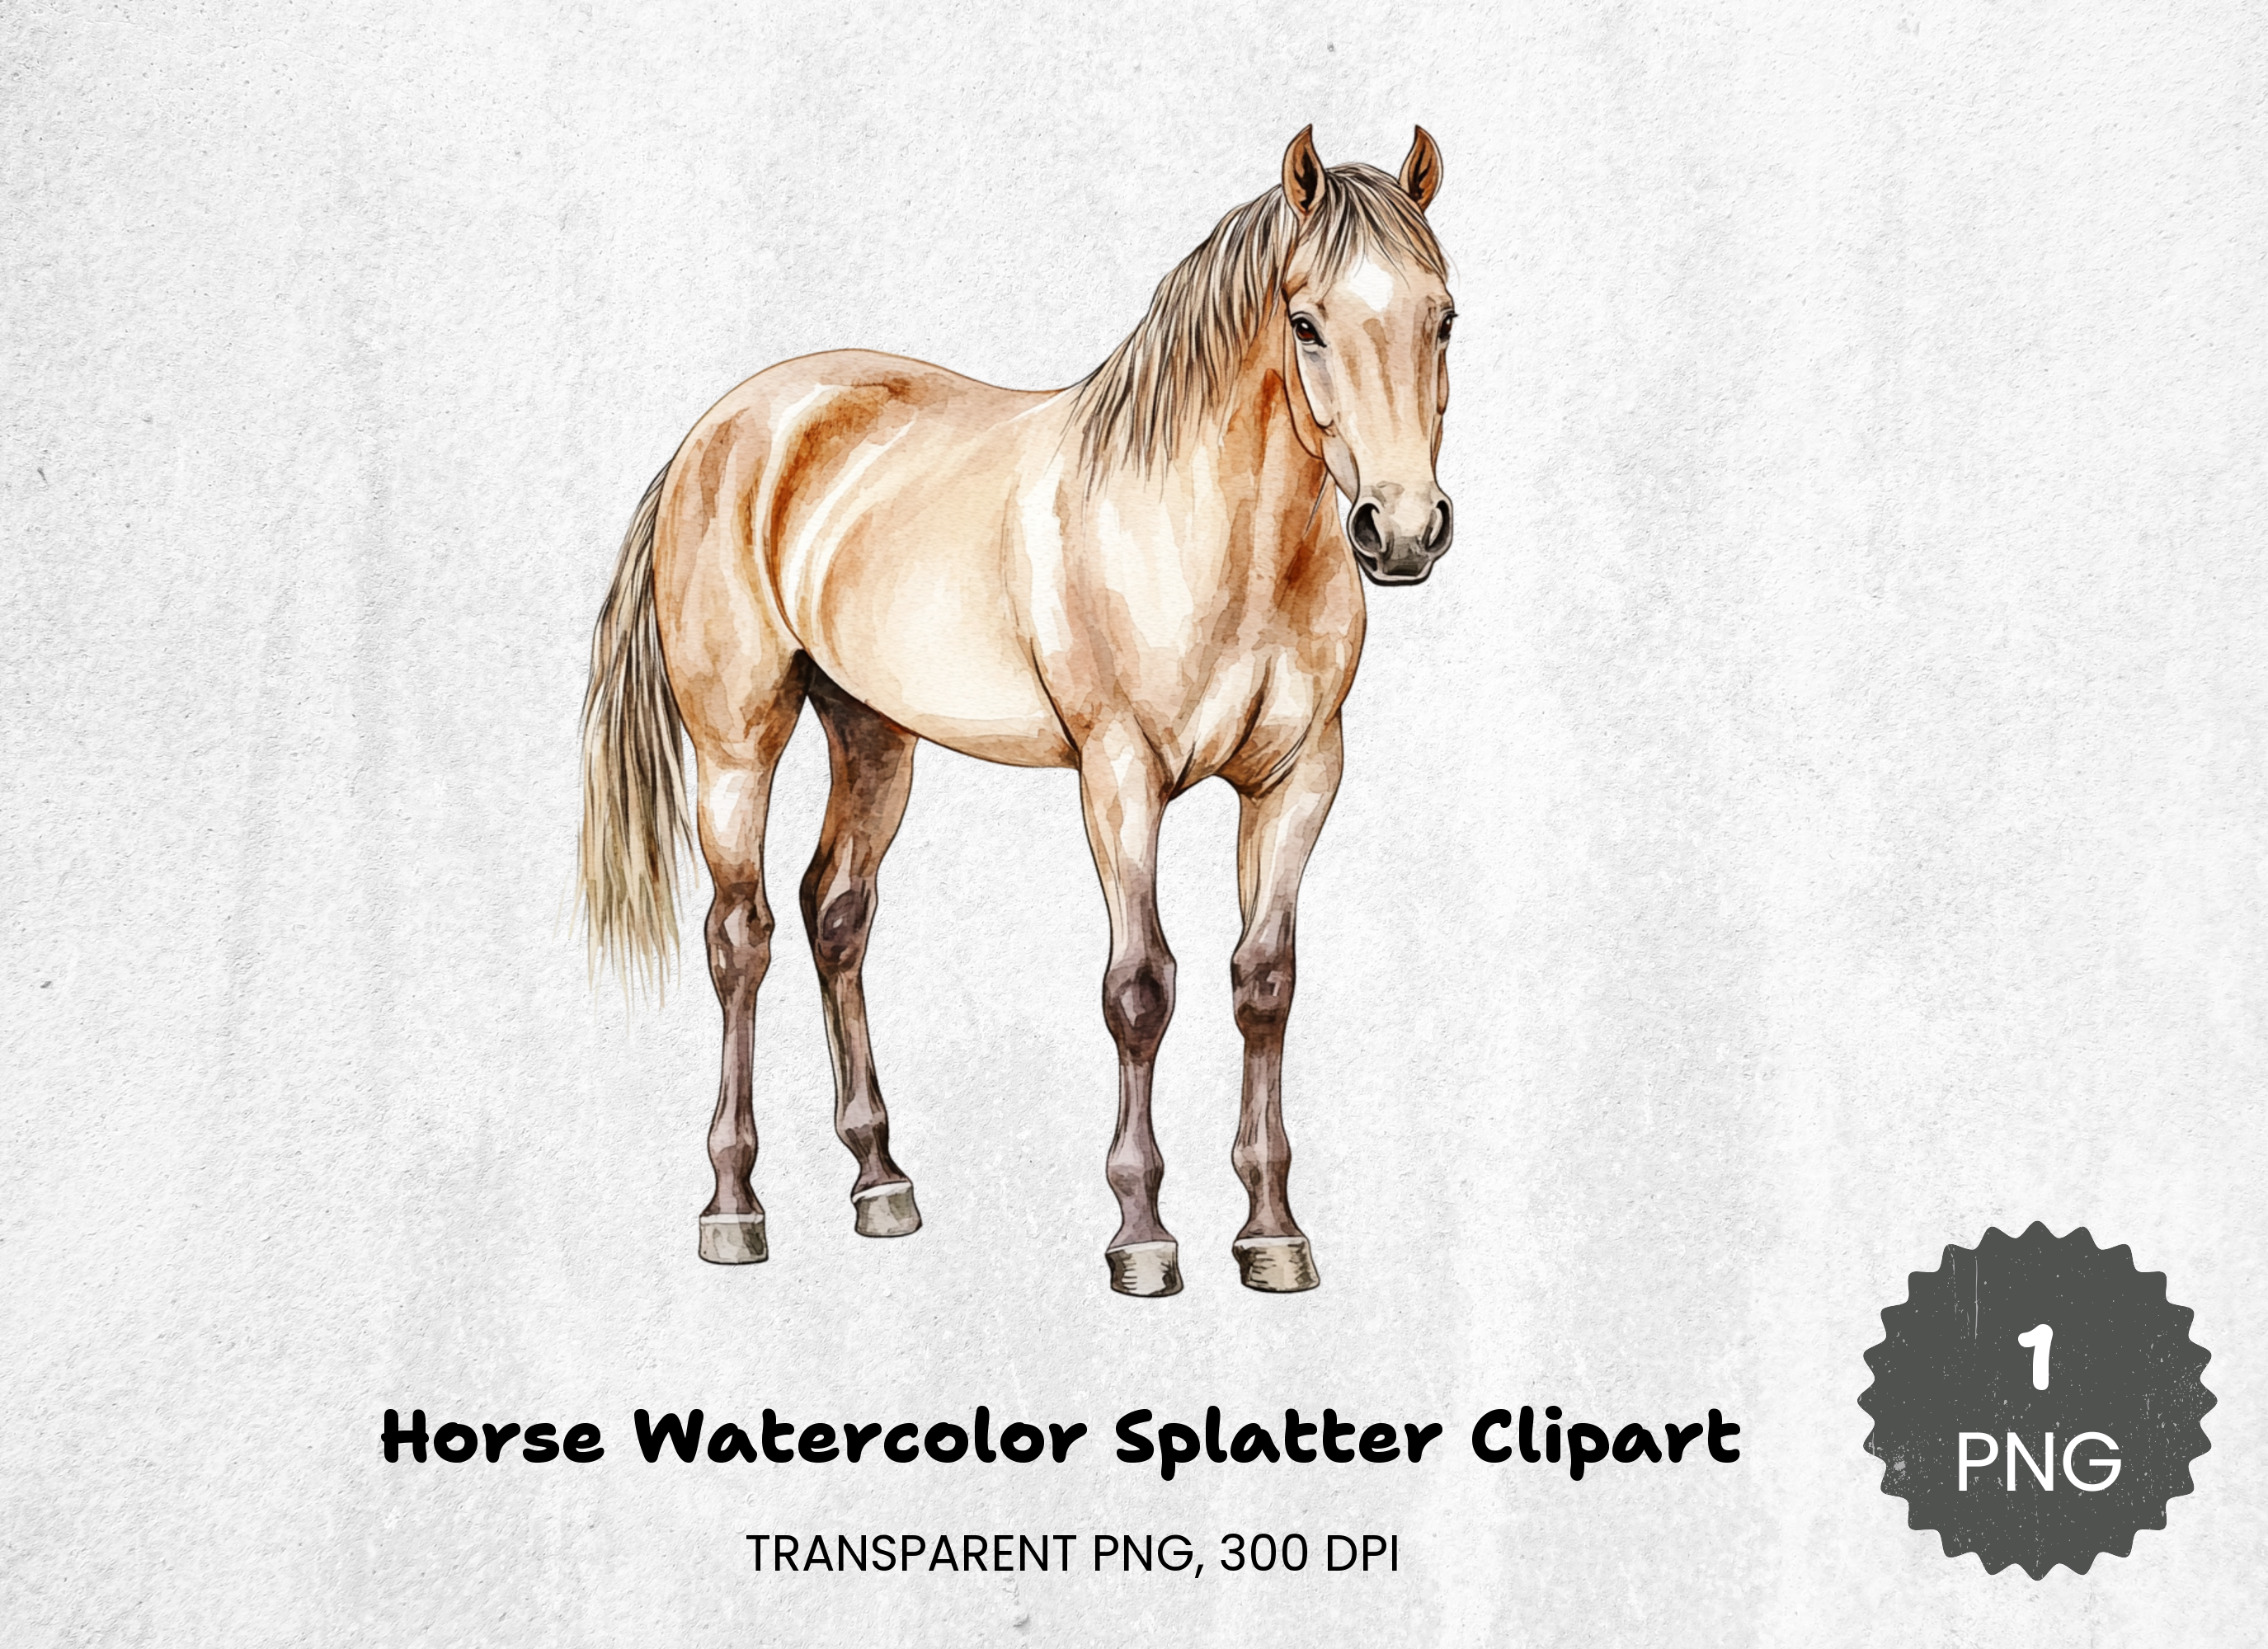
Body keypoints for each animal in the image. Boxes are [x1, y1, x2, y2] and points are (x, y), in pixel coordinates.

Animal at [579, 126, 1457, 1297]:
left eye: (1442, 316)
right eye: (1306, 322)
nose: (1399, 529)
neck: (1213, 530)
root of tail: (716, 432)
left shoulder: (1299, 777)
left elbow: (1262, 982)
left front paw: (1271, 1231)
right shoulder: (1119, 774)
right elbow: (1140, 987)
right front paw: (1141, 1232)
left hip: (873, 734)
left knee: (834, 913)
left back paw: (880, 1181)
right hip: (736, 744)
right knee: (740, 937)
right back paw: (733, 1204)